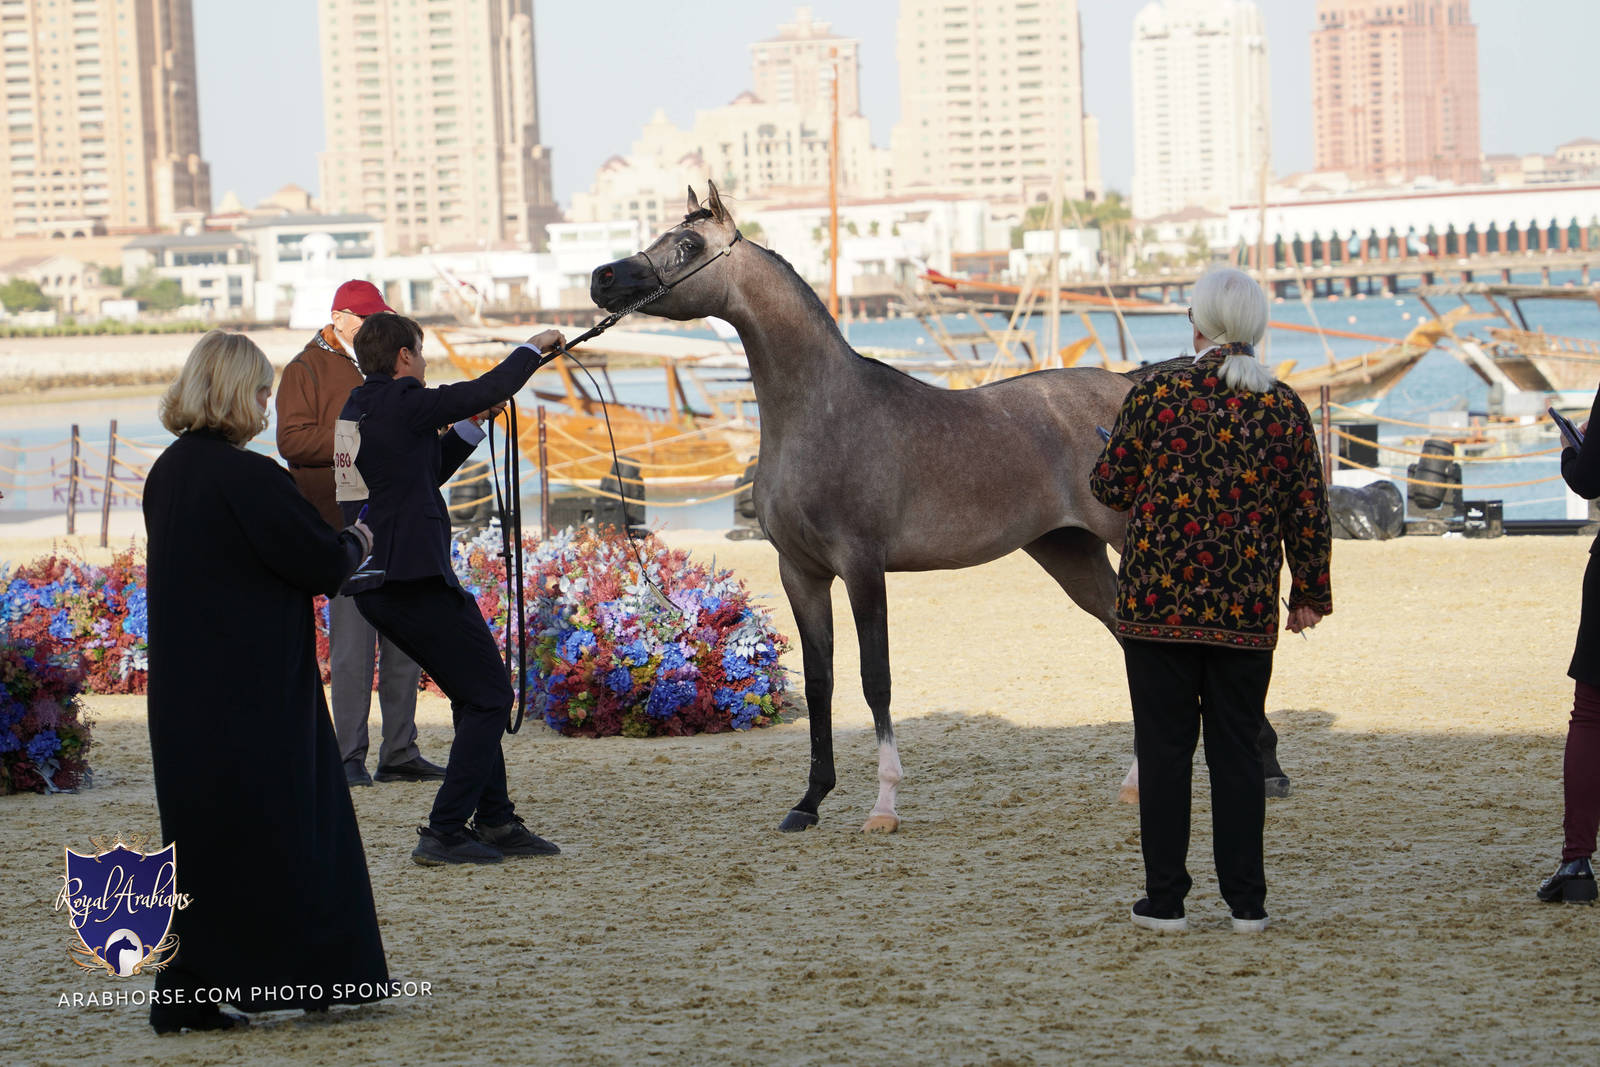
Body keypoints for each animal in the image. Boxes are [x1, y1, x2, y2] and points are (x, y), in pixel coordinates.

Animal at [591, 182, 1140, 833]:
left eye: (688, 244)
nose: (601, 278)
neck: (820, 412)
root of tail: (1130, 385)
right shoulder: (800, 572)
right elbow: (821, 681)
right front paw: (809, 801)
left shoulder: (861, 567)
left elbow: (875, 678)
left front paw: (884, 804)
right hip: (1069, 552)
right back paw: (1140, 781)